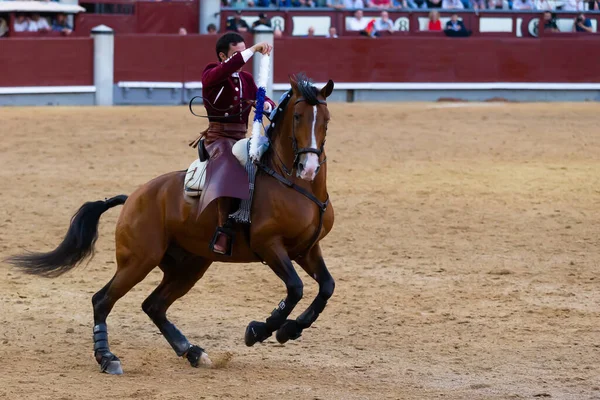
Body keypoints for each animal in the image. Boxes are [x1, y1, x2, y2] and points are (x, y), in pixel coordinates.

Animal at [7, 74, 338, 376]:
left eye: (326, 120)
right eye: (297, 116)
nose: (309, 167)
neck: (293, 184)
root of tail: (133, 197)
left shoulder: (306, 249)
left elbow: (326, 287)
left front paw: (289, 330)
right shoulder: (270, 246)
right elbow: (295, 288)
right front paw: (260, 330)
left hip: (188, 266)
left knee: (154, 305)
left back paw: (192, 352)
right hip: (139, 260)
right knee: (102, 300)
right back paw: (108, 358)